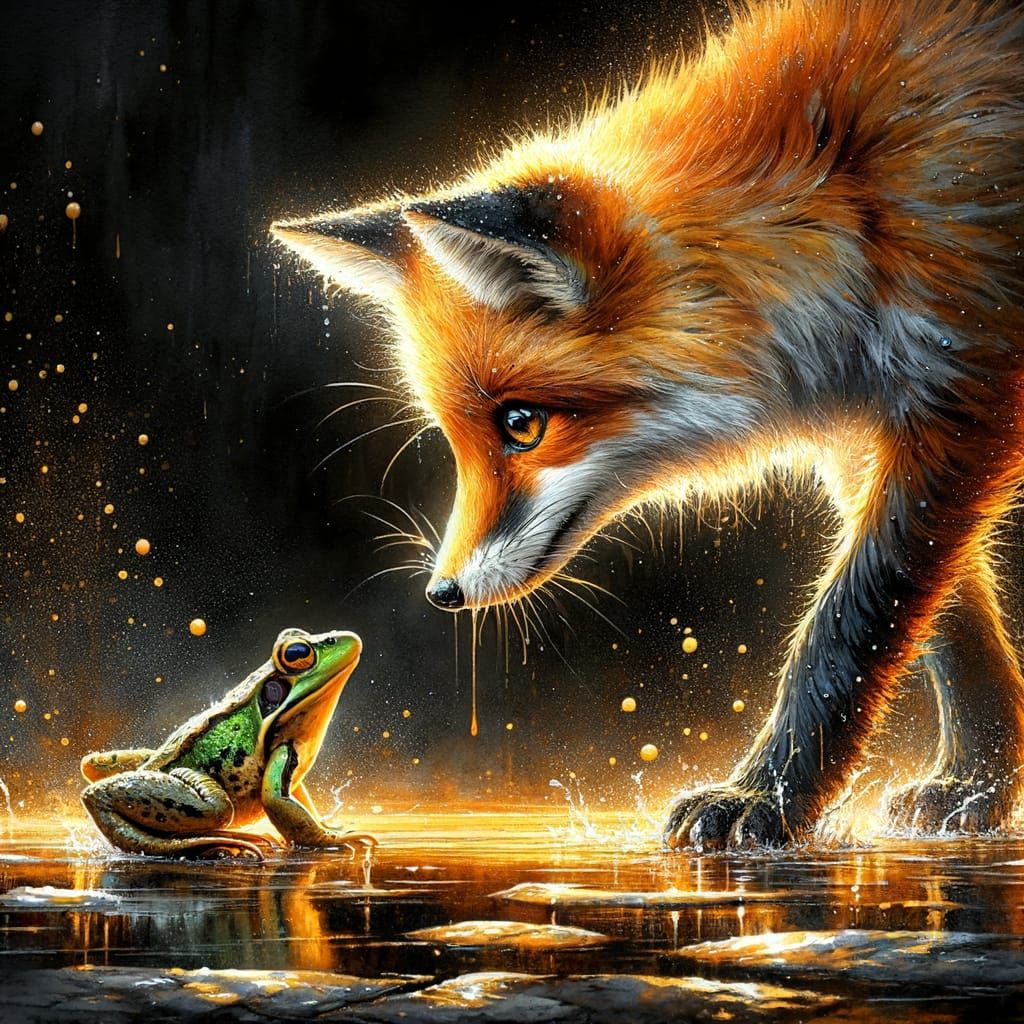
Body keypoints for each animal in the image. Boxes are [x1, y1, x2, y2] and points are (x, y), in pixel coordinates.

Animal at [271, 0, 1024, 848]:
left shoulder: (959, 389)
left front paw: (764, 799)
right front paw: (977, 784)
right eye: (457, 437)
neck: (848, 188)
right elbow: (948, 626)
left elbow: (850, 622)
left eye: (521, 424)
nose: (443, 593)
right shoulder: (873, 434)